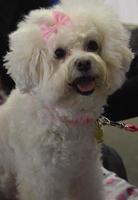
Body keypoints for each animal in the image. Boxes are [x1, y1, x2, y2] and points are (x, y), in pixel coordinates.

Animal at [0, 0, 133, 200]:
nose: (83, 63)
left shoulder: (85, 170)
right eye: (59, 53)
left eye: (92, 45)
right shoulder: (43, 179)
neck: (65, 117)